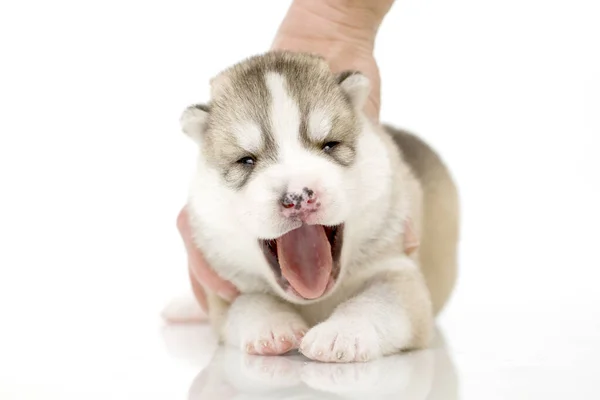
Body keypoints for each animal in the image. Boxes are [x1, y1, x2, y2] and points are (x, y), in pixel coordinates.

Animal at [164, 50, 460, 362]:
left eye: (329, 145)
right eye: (246, 160)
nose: (297, 197)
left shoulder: (398, 270)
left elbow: (377, 302)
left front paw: (342, 333)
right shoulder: (225, 290)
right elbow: (250, 301)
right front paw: (272, 326)